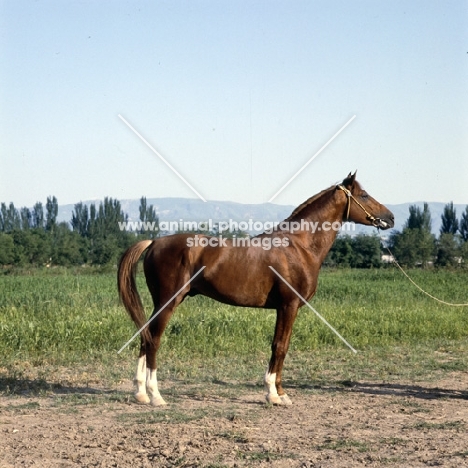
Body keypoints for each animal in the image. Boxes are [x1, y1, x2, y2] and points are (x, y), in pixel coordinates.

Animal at [118, 172, 394, 406]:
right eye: (364, 195)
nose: (390, 218)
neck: (299, 246)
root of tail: (155, 242)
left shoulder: (286, 308)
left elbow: (282, 345)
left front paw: (279, 393)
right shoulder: (288, 306)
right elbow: (280, 346)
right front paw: (274, 394)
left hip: (160, 304)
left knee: (144, 337)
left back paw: (141, 393)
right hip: (168, 303)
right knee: (153, 340)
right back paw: (155, 396)